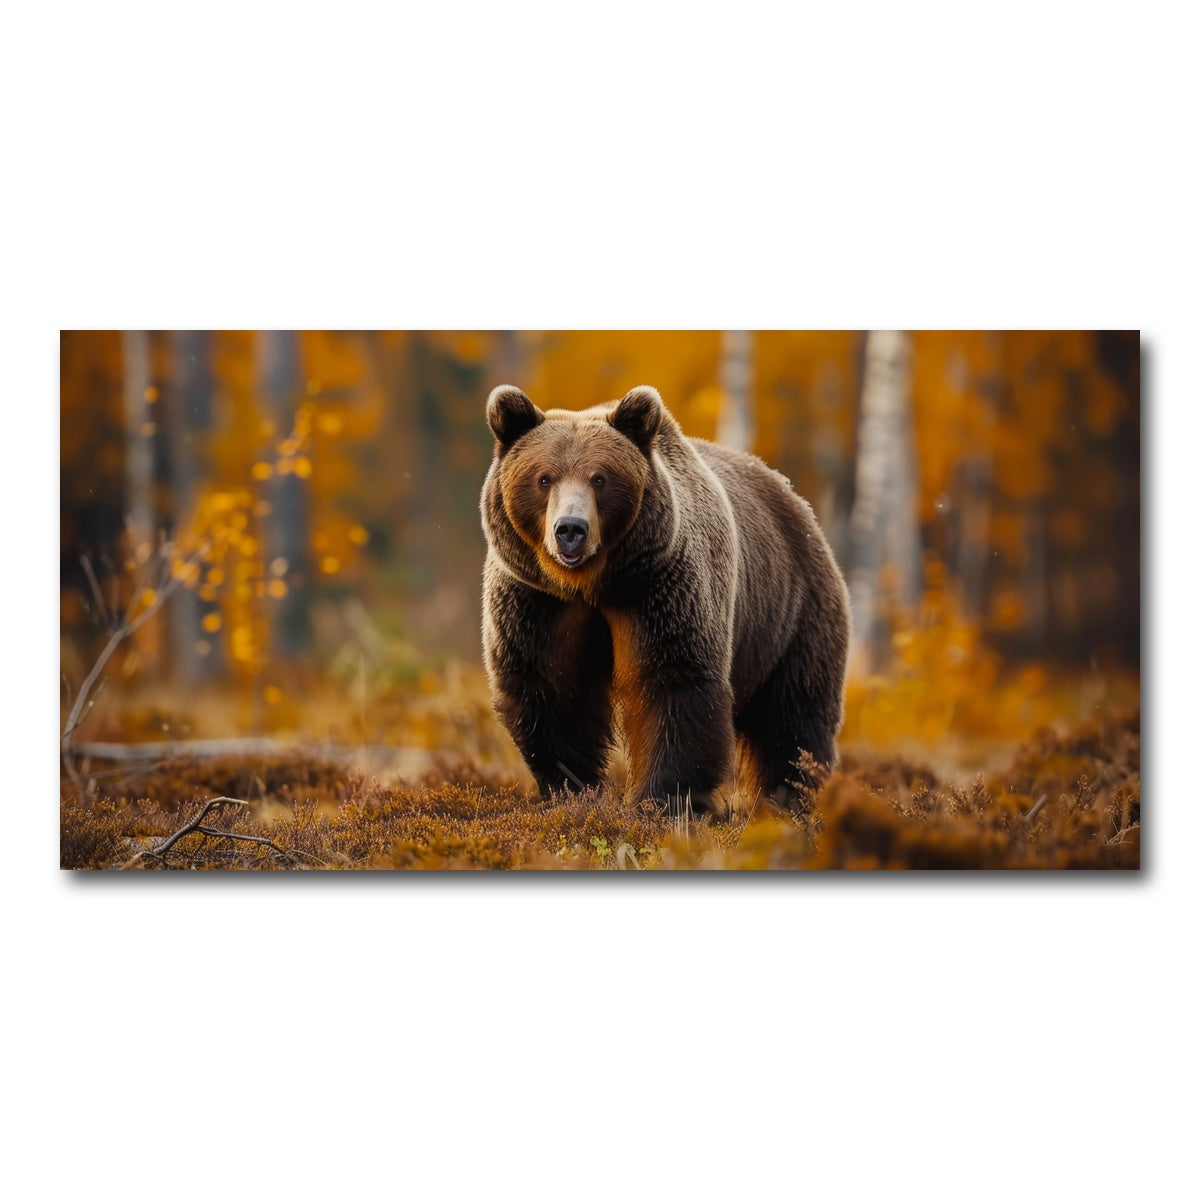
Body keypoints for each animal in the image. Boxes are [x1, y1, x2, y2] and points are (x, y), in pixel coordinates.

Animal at [480, 383, 850, 816]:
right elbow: (551, 689)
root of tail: (794, 499)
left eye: (600, 478)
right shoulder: (538, 602)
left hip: (793, 613)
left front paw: (662, 800)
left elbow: (672, 682)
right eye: (543, 478)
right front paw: (573, 789)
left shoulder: (661, 588)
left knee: (794, 716)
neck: (593, 584)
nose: (570, 529)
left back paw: (791, 798)